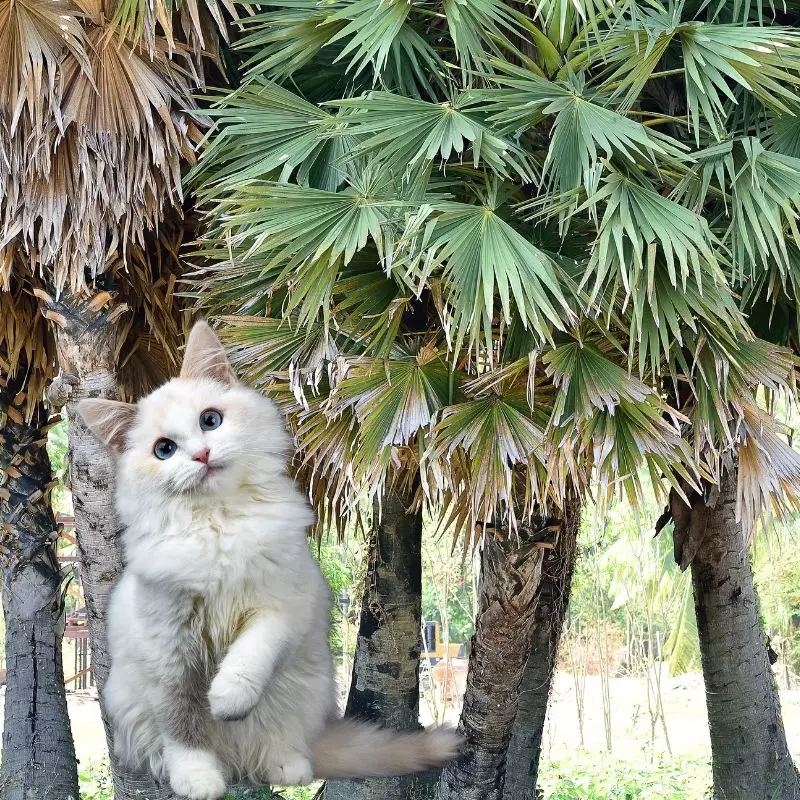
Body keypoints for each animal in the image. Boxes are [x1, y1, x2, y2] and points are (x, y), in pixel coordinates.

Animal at [79, 322, 462, 796]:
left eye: (210, 420)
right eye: (164, 450)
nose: (202, 456)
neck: (220, 524)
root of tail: (239, 765)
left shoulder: (281, 607)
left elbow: (249, 657)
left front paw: (226, 699)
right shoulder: (170, 651)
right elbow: (184, 729)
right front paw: (198, 780)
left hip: (301, 690)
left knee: (283, 747)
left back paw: (285, 766)